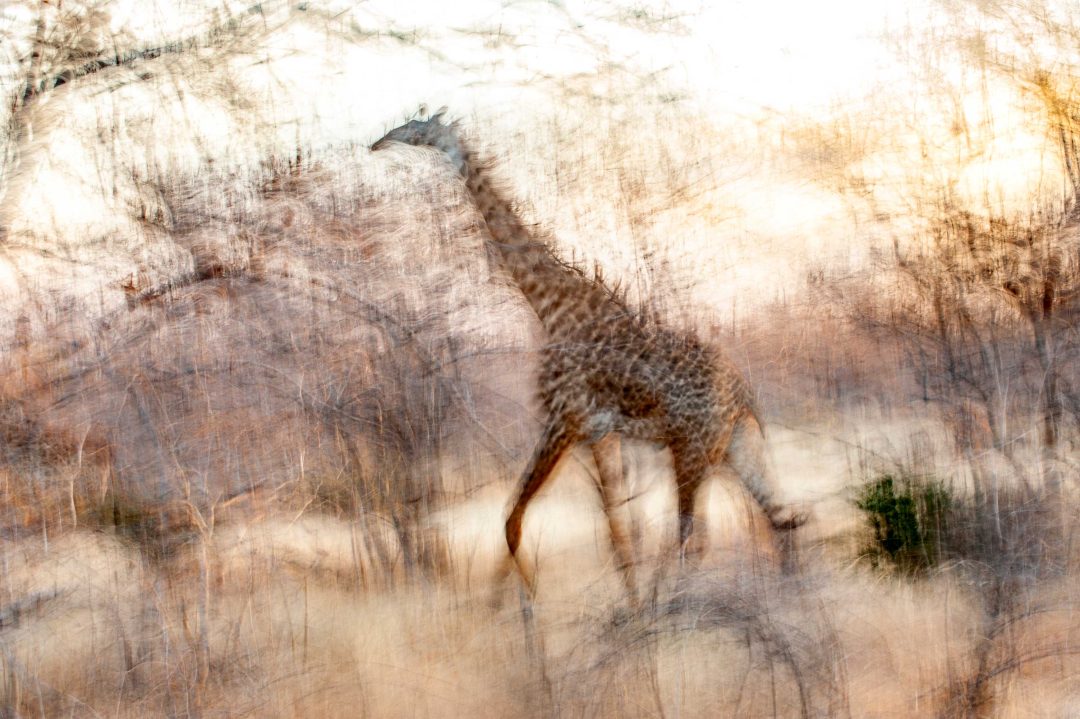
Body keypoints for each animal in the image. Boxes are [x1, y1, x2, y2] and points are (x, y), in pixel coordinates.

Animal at [371, 111, 805, 597]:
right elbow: (614, 529)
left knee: (696, 536)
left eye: (414, 128)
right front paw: (624, 600)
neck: (549, 305)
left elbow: (513, 521)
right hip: (734, 445)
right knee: (779, 520)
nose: (377, 144)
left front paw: (526, 604)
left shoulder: (564, 419)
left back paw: (679, 603)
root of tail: (743, 393)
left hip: (692, 451)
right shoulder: (599, 433)